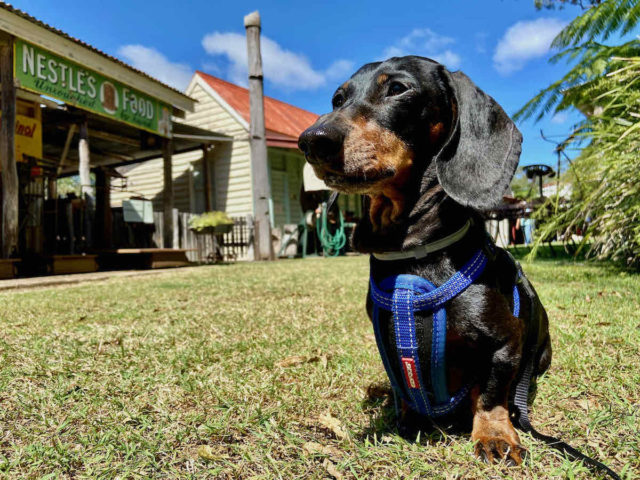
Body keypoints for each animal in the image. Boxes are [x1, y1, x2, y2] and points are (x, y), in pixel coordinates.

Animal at [298, 56, 552, 464]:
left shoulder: (505, 343)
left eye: (398, 89)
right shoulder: (388, 342)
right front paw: (408, 417)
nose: (312, 140)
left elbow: (492, 394)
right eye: (338, 99)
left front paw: (494, 434)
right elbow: (403, 387)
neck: (414, 254)